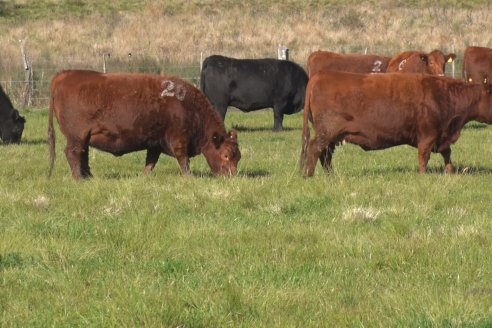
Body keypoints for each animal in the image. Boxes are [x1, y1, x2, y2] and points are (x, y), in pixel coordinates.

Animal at [49, 69, 241, 181]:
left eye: (238, 157)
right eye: (225, 155)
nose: (232, 176)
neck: (189, 105)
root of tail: (63, 75)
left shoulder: (155, 143)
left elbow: (151, 161)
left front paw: (145, 177)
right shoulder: (178, 141)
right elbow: (183, 160)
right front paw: (189, 177)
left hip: (85, 137)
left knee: (83, 154)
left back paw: (88, 176)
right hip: (77, 137)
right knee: (73, 153)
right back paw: (79, 178)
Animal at [300, 70, 492, 176]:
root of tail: (321, 75)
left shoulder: (441, 136)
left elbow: (447, 154)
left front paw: (450, 172)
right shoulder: (428, 135)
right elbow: (424, 156)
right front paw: (423, 175)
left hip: (332, 136)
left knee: (325, 155)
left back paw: (330, 175)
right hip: (327, 131)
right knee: (315, 148)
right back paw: (309, 175)